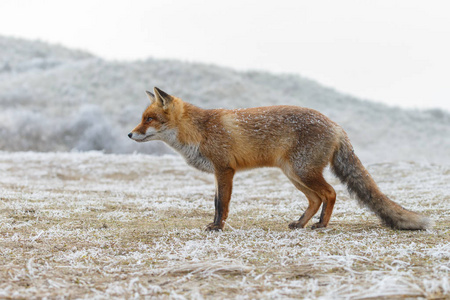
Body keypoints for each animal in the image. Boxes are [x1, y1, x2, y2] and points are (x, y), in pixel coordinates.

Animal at [128, 88, 430, 231]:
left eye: (149, 119)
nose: (130, 134)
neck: (199, 131)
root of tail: (335, 125)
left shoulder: (225, 170)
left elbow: (221, 205)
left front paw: (218, 228)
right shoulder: (217, 173)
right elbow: (215, 203)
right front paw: (215, 226)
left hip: (303, 172)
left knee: (330, 193)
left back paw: (321, 225)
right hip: (294, 174)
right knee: (316, 199)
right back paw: (300, 223)